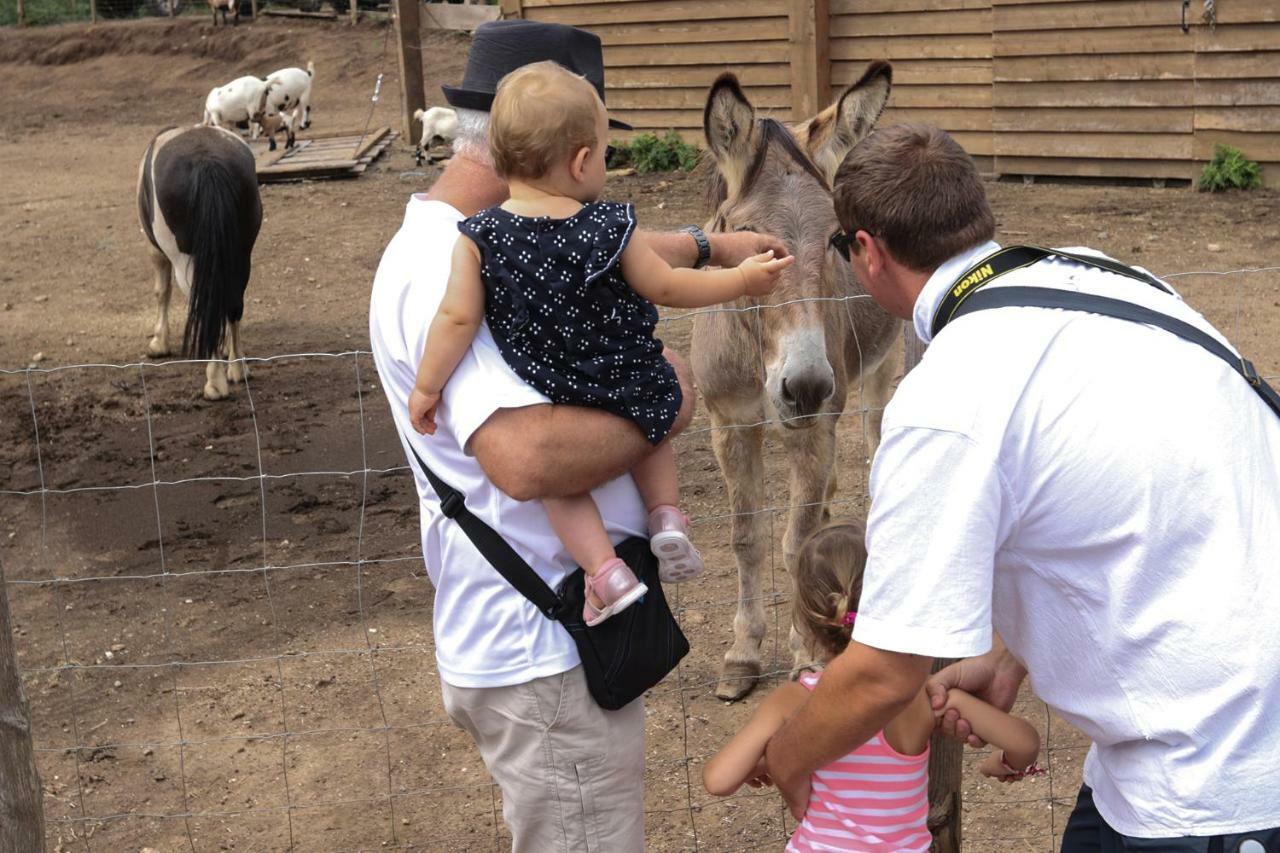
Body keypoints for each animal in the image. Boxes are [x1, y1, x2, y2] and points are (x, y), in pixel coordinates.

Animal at [137, 124, 262, 399]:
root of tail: (207, 162)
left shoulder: (155, 251)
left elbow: (161, 292)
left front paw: (159, 343)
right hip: (240, 255)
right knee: (233, 303)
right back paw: (238, 368)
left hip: (186, 263)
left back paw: (215, 383)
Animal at [691, 61, 901, 696]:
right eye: (744, 236)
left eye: (836, 238)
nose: (805, 387)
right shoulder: (731, 424)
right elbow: (748, 540)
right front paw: (742, 654)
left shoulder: (815, 423)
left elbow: (797, 542)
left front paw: (805, 648)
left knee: (879, 433)